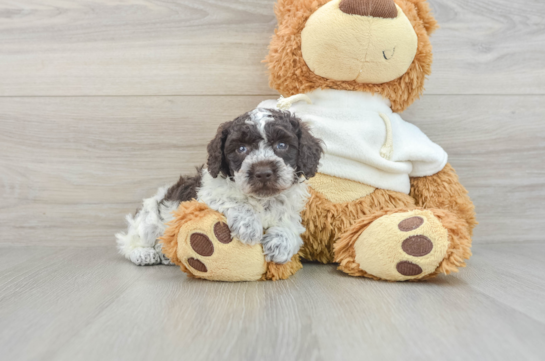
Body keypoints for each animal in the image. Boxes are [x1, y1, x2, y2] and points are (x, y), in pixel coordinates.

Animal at [115, 107, 324, 264]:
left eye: (282, 145)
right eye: (241, 149)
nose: (263, 172)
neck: (261, 200)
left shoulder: (290, 208)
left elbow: (290, 224)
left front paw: (280, 244)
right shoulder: (205, 196)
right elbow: (234, 201)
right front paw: (249, 227)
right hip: (149, 220)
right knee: (128, 241)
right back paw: (144, 253)